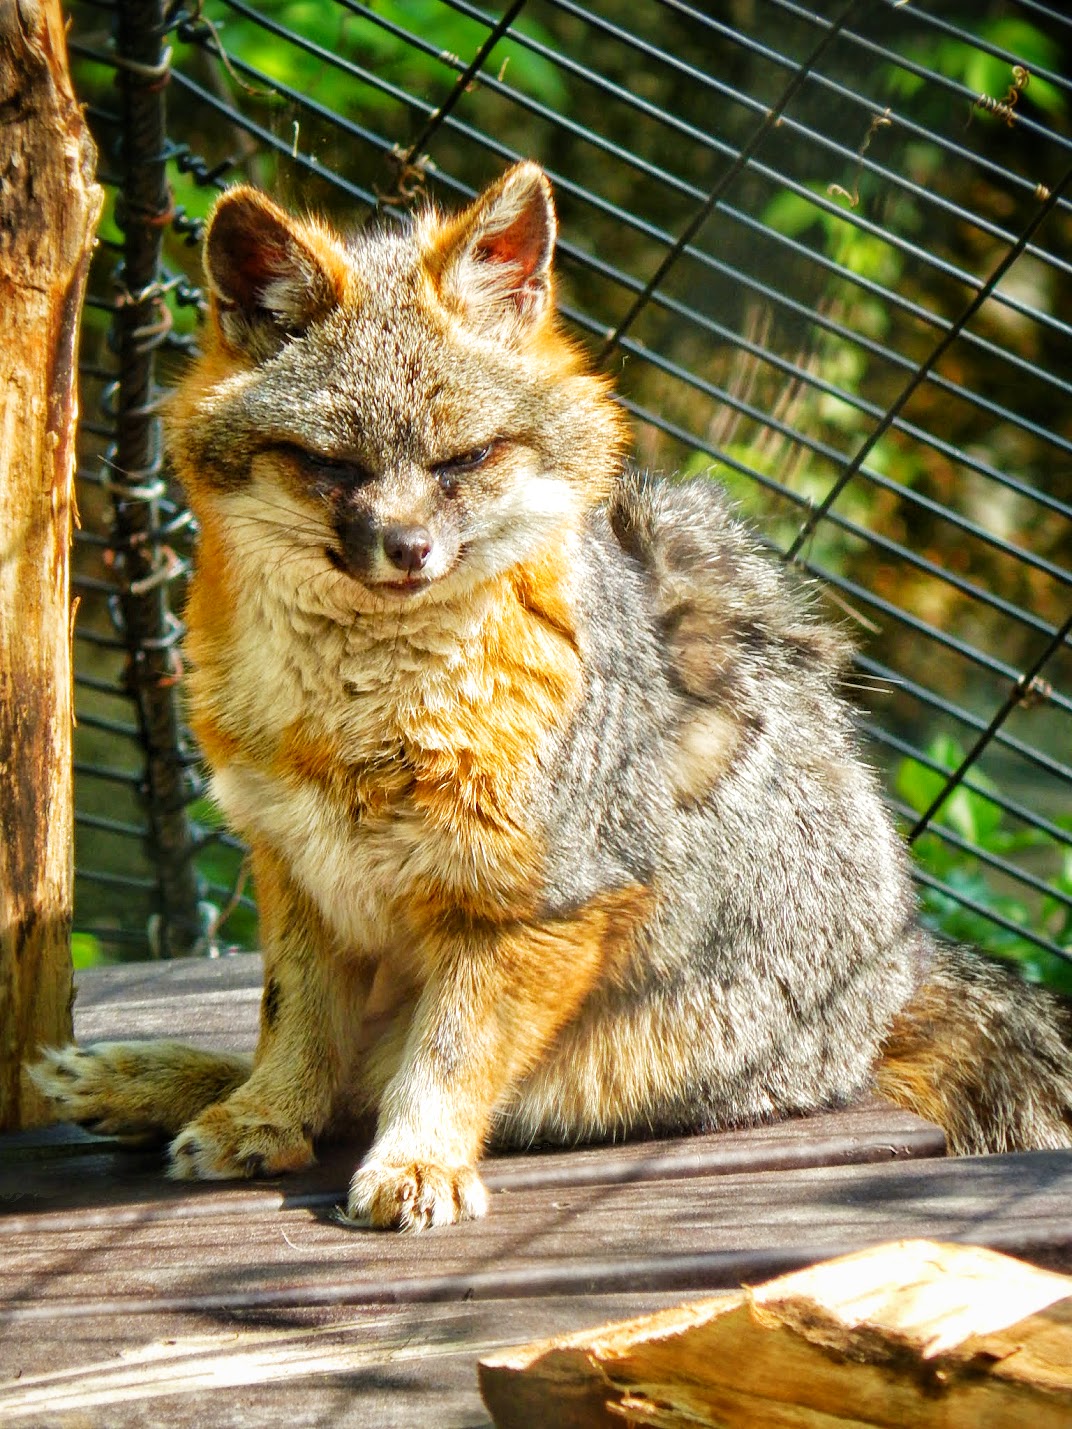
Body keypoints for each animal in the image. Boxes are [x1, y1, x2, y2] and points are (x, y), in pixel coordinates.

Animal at [31, 161, 1072, 1229]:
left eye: (464, 460)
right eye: (330, 467)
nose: (408, 550)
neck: (359, 718)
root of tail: (902, 972)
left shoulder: (536, 902)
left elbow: (444, 1057)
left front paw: (422, 1161)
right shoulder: (298, 871)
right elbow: (294, 1031)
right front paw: (262, 1116)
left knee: (383, 1081)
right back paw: (154, 1083)